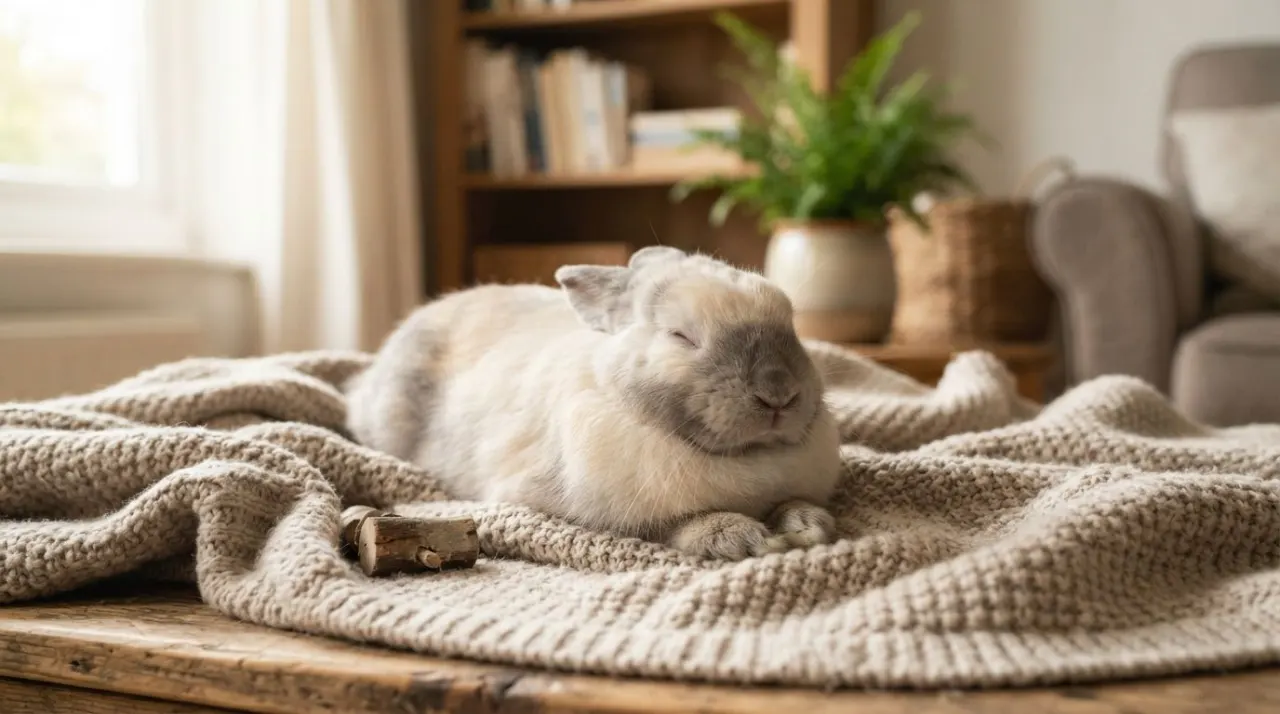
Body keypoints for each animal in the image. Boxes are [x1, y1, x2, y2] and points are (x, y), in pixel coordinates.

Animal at [345, 246, 841, 560]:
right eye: (680, 336)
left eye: (792, 323)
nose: (778, 392)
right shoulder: (588, 510)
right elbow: (671, 524)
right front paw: (742, 538)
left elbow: (793, 503)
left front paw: (810, 525)